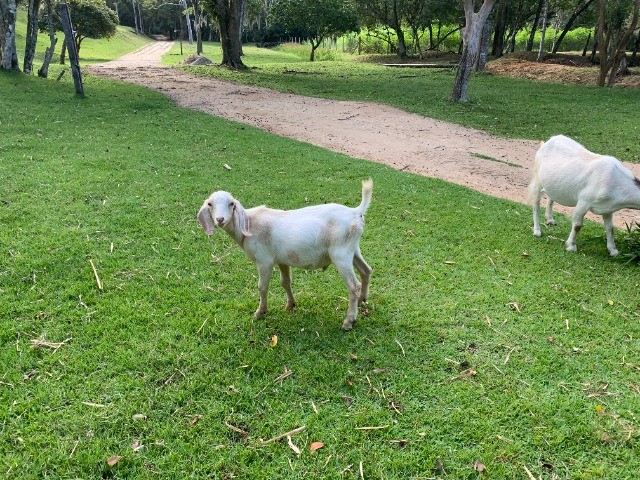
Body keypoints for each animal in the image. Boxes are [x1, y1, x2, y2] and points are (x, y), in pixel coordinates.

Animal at [198, 180, 372, 330]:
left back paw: (349, 321)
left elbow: (262, 287)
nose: (220, 219)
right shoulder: (282, 259)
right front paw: (290, 305)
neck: (249, 225)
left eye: (231, 204)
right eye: (210, 204)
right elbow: (285, 282)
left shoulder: (264, 261)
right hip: (353, 250)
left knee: (353, 286)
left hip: (340, 254)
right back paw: (362, 300)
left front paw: (260, 312)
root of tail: (355, 212)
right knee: (366, 270)